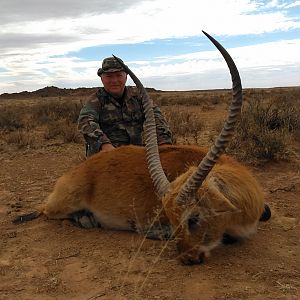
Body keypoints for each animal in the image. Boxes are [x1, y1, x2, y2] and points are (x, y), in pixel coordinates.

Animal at [14, 31, 270, 264]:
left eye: (193, 218)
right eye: (172, 218)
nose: (187, 258)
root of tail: (76, 171)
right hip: (61, 204)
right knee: (46, 211)